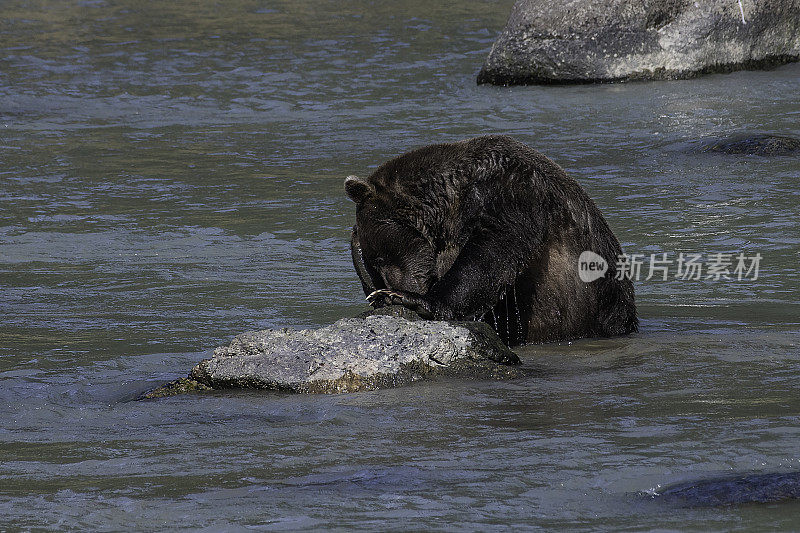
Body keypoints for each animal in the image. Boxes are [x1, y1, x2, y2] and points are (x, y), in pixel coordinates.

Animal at [344, 135, 636, 344]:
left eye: (379, 258)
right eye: (374, 266)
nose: (387, 289)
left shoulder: (512, 193)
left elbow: (492, 252)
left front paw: (408, 298)